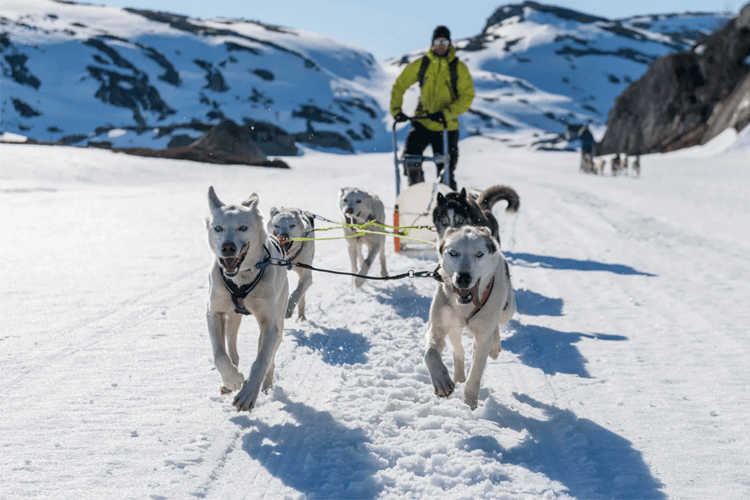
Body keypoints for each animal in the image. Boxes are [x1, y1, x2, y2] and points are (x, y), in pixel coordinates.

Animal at [207, 186, 290, 412]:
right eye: (218, 228)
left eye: (243, 228)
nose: (227, 247)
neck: (241, 278)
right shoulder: (214, 312)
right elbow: (219, 354)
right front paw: (233, 380)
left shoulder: (269, 325)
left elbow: (261, 361)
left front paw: (248, 394)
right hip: (232, 319)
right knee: (232, 350)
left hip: (279, 322)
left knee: (270, 359)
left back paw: (266, 386)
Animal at [426, 227, 520, 410]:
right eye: (453, 253)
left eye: (479, 254)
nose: (463, 278)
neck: (465, 305)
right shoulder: (438, 327)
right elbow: (430, 354)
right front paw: (441, 381)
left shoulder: (482, 338)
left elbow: (475, 374)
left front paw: (469, 402)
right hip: (454, 328)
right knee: (458, 350)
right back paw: (459, 377)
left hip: (507, 310)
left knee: (497, 324)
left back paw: (495, 347)